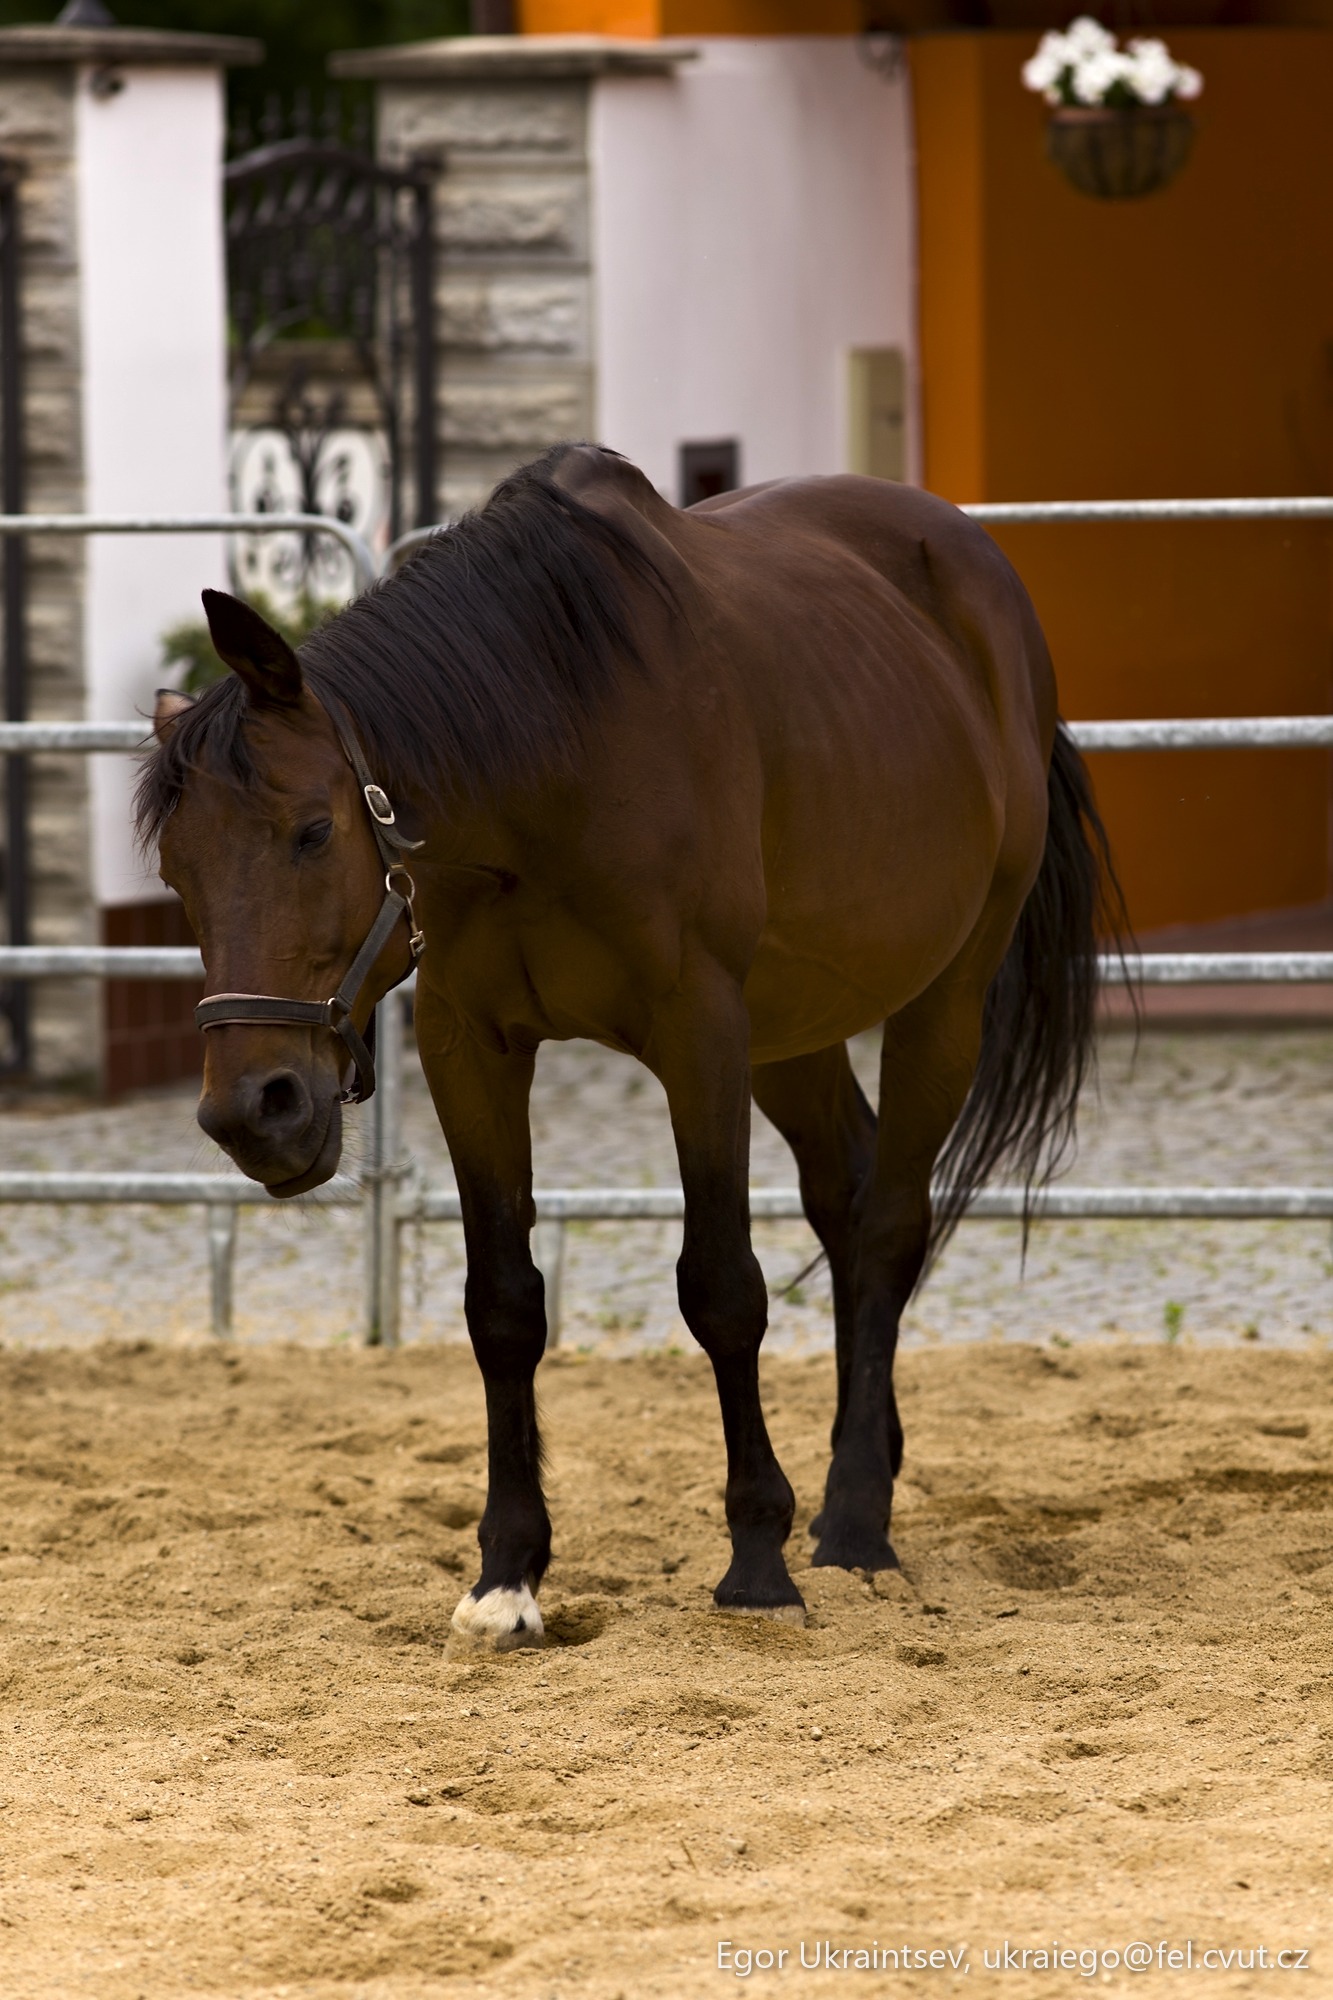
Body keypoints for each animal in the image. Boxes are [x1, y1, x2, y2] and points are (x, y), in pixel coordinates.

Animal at [137, 443, 1121, 1651]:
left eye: (312, 831)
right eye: (176, 874)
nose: (255, 1111)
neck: (549, 753)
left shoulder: (699, 1030)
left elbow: (721, 1288)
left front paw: (756, 1558)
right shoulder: (471, 1046)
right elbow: (502, 1303)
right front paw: (507, 1573)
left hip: (943, 994)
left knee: (891, 1221)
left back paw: (851, 1524)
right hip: (792, 1026)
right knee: (847, 1200)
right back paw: (867, 1472)